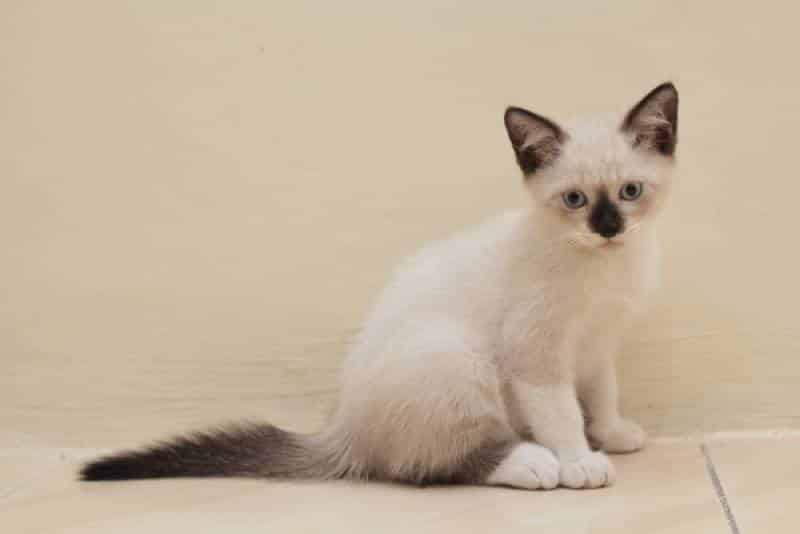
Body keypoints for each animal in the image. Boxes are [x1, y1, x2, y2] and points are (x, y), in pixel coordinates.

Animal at [81, 81, 680, 492]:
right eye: (575, 200)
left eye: (629, 192)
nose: (609, 228)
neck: (605, 269)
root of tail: (341, 427)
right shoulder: (538, 355)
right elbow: (561, 414)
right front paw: (580, 460)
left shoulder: (598, 346)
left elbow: (600, 396)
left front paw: (613, 435)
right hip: (457, 357)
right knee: (423, 463)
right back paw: (533, 463)